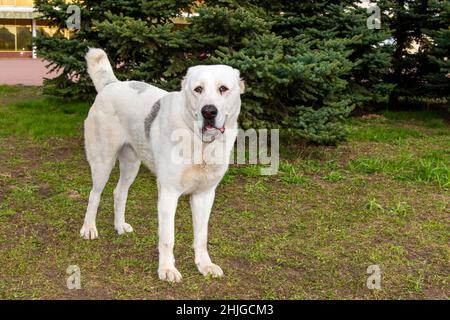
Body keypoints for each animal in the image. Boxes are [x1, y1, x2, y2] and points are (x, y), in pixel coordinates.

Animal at [79, 48, 244, 282]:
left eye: (223, 89)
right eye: (198, 89)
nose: (209, 112)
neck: (200, 144)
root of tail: (111, 84)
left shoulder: (205, 195)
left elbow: (201, 237)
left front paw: (204, 265)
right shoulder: (168, 193)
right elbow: (167, 238)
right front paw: (166, 269)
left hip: (131, 164)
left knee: (119, 192)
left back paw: (119, 226)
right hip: (103, 162)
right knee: (95, 194)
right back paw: (89, 228)